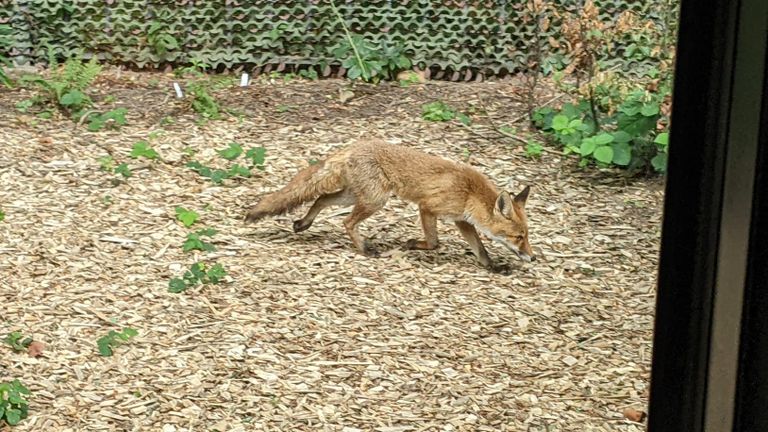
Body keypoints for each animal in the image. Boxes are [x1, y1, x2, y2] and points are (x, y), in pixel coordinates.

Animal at [244, 139, 536, 270]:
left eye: (526, 236)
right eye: (519, 237)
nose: (533, 257)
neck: (469, 193)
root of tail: (353, 146)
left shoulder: (461, 221)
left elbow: (480, 250)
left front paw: (493, 267)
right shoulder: (427, 208)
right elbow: (434, 243)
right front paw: (411, 244)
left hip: (355, 196)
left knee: (321, 198)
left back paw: (304, 223)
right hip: (375, 200)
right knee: (346, 221)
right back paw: (364, 249)